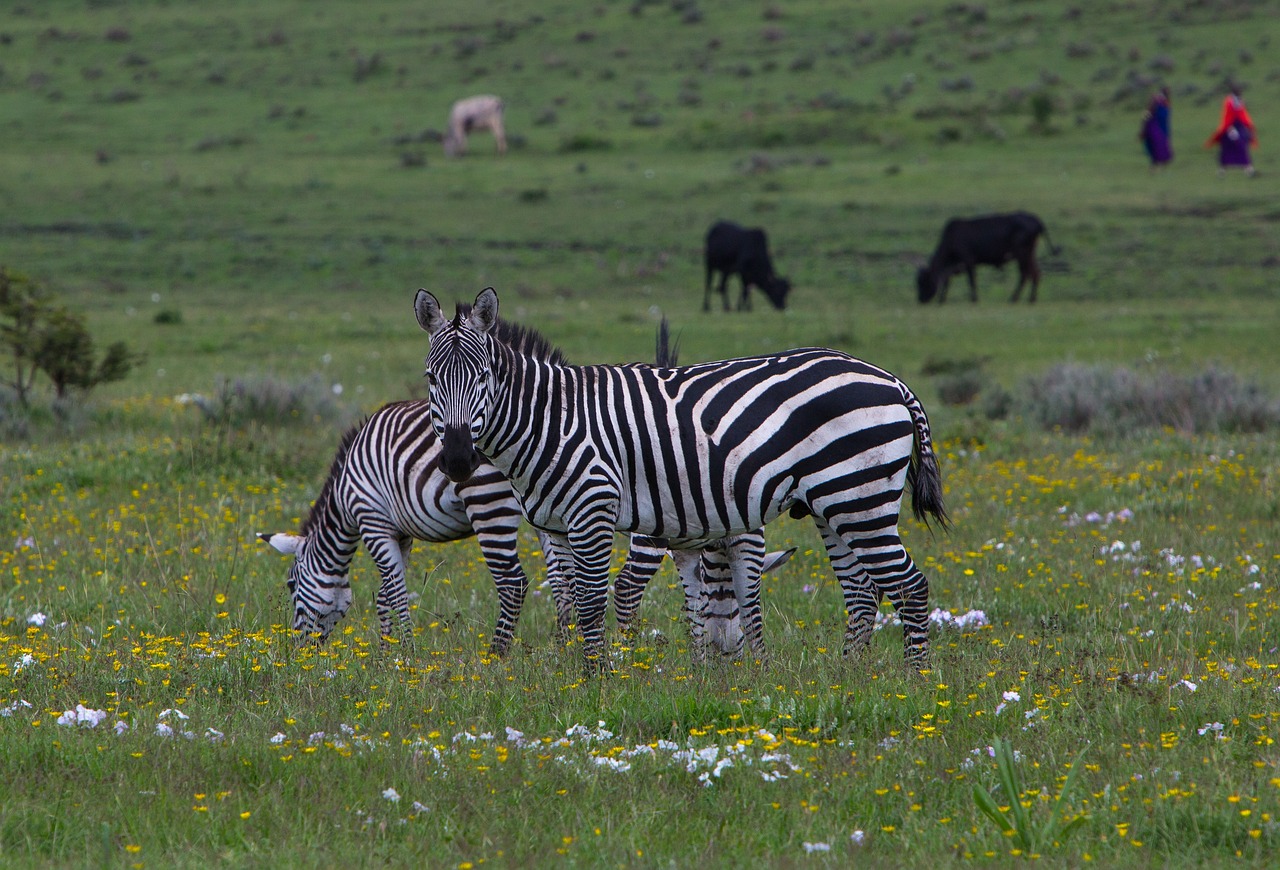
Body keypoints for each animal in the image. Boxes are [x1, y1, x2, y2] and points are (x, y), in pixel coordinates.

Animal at [414, 287, 948, 670]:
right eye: (431, 378)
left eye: (482, 376)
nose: (458, 461)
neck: (552, 419)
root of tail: (891, 379)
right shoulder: (556, 526)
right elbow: (567, 602)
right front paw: (573, 675)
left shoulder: (593, 509)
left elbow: (591, 602)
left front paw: (598, 680)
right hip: (832, 503)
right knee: (862, 591)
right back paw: (848, 676)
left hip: (860, 497)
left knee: (909, 586)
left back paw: (912, 681)